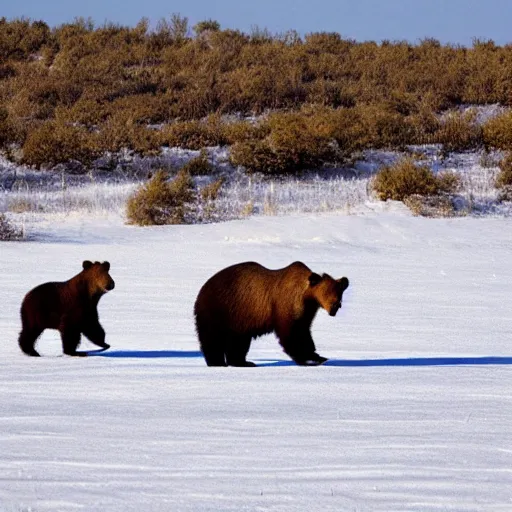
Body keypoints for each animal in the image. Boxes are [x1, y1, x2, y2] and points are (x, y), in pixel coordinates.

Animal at [194, 262, 350, 366]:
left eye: (339, 292)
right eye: (327, 292)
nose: (335, 307)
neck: (305, 297)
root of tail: (203, 287)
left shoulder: (306, 313)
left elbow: (304, 334)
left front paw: (317, 356)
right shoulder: (284, 307)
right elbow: (290, 335)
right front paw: (305, 359)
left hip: (239, 319)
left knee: (238, 342)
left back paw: (243, 362)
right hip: (220, 310)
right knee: (212, 338)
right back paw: (217, 362)